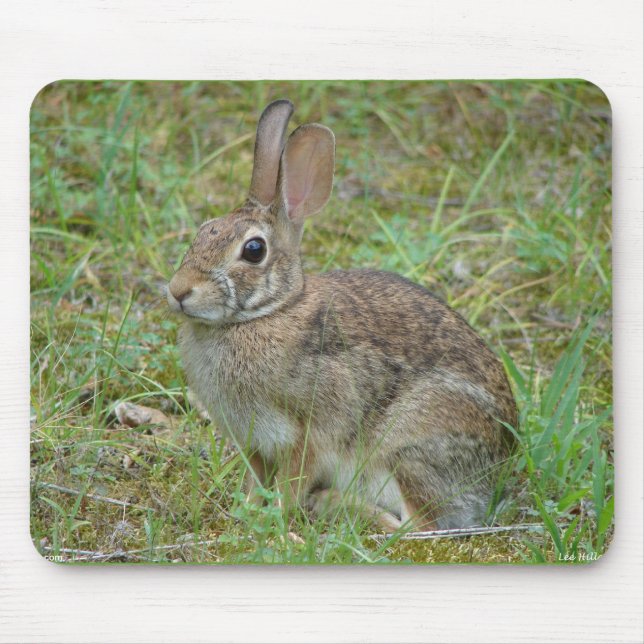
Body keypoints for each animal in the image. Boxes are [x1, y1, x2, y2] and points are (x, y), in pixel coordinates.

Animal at [167, 99, 517, 532]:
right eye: (204, 230)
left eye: (253, 250)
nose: (178, 290)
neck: (267, 312)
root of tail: (498, 472)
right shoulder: (255, 443)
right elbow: (255, 480)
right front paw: (244, 509)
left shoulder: (308, 433)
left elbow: (291, 483)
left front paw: (274, 518)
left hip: (407, 448)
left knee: (416, 527)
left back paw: (332, 503)